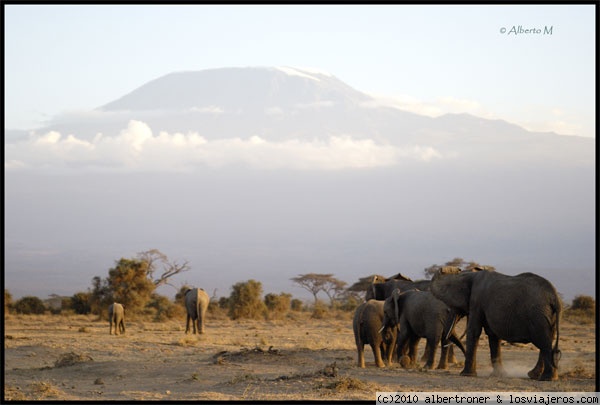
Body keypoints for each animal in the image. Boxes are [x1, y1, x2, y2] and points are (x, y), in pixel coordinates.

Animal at [428, 268, 560, 378]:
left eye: (451, 308)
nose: (454, 269)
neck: (470, 275)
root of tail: (554, 297)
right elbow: (492, 335)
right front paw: (498, 375)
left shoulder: (477, 301)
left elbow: (474, 331)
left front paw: (466, 375)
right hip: (548, 316)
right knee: (547, 341)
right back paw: (536, 376)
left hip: (538, 316)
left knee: (544, 342)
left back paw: (546, 378)